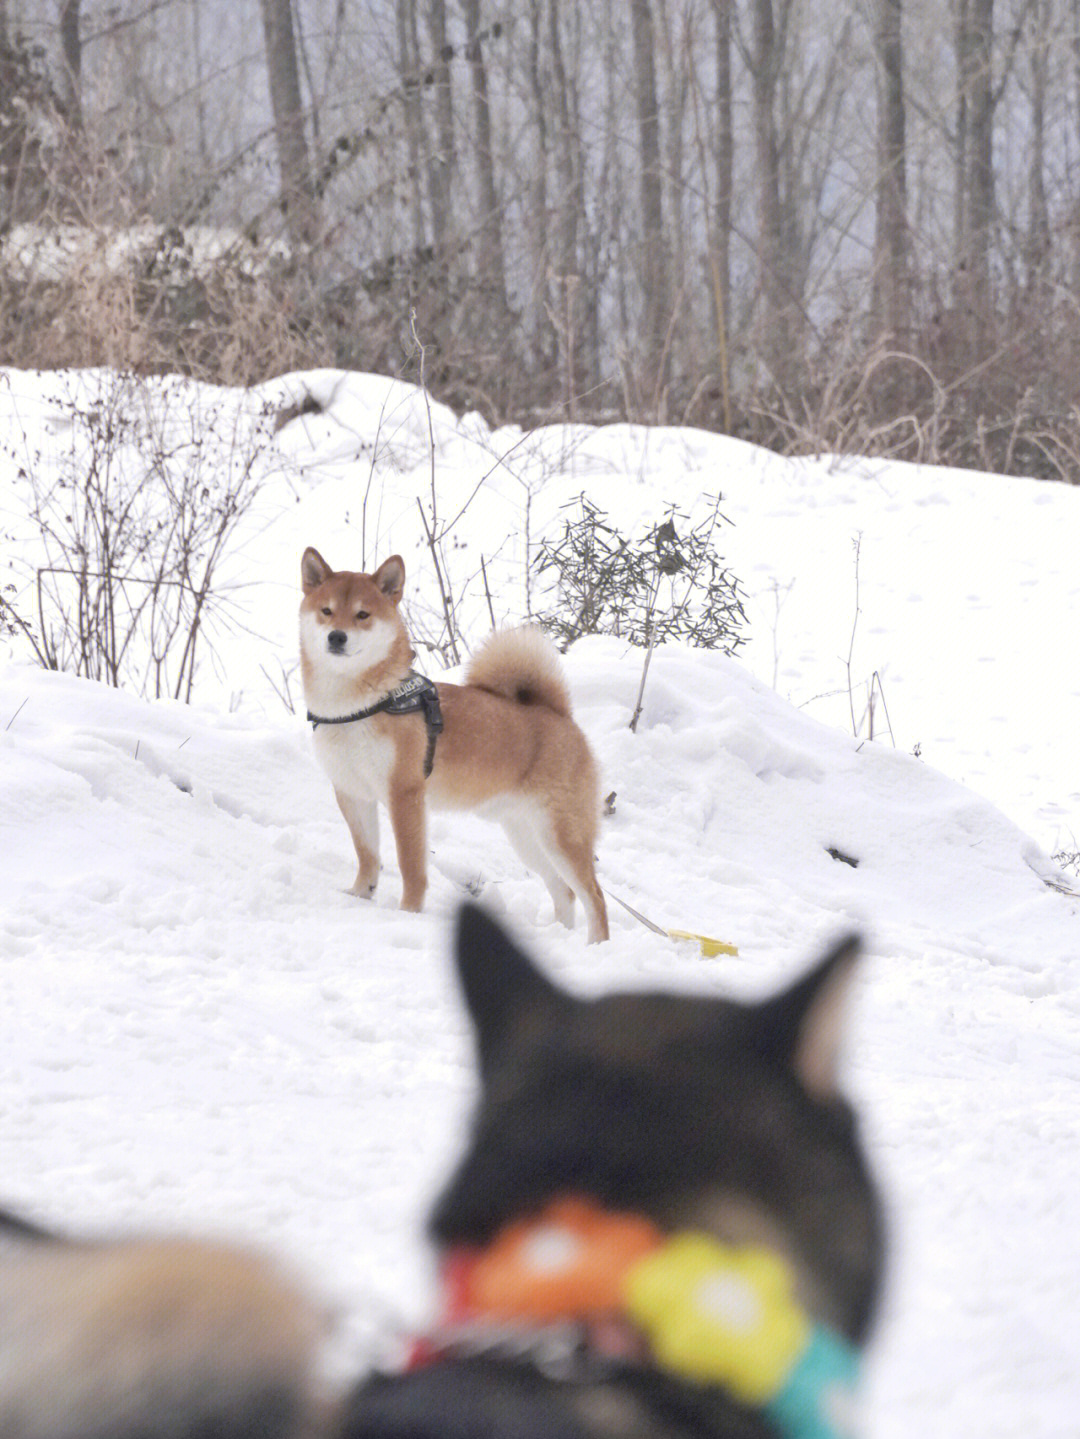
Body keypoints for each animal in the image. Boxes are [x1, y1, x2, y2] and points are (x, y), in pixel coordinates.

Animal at [300, 549, 612, 943]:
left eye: (362, 615)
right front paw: (359, 895)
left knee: (594, 896)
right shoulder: (352, 793)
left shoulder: (404, 795)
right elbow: (367, 854)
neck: (357, 707)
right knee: (564, 891)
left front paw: (408, 913)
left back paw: (596, 946)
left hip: (560, 835)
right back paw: (555, 937)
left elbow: (410, 865)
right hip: (526, 836)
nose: (336, 637)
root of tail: (559, 714)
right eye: (326, 611)